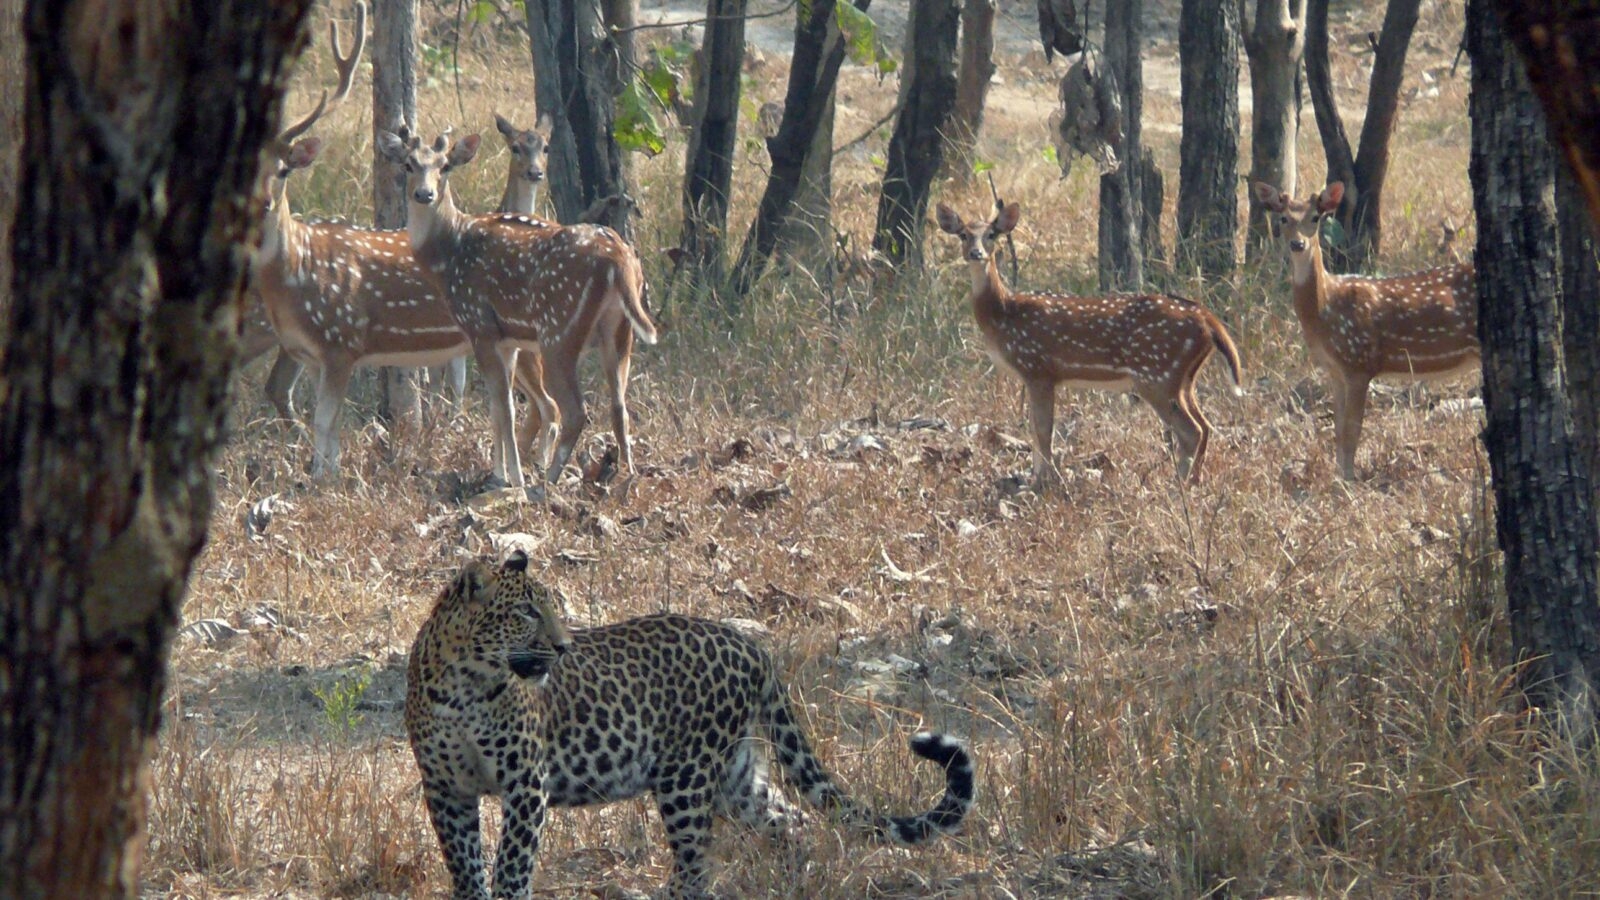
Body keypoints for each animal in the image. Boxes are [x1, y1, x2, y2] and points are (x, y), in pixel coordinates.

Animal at [377, 128, 658, 488]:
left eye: (445, 166)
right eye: (409, 164)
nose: (424, 194)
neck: (446, 255)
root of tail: (619, 259)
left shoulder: (479, 325)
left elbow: (504, 406)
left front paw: (514, 478)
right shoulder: (506, 339)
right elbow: (500, 407)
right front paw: (500, 473)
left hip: (559, 329)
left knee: (574, 410)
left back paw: (547, 480)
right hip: (621, 331)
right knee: (619, 406)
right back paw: (626, 476)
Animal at [405, 550, 975, 899]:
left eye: (549, 609)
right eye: (525, 613)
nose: (564, 647)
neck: (463, 684)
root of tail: (751, 645)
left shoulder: (526, 782)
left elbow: (512, 864)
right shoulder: (446, 788)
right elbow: (464, 863)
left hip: (686, 778)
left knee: (696, 867)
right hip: (736, 776)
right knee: (792, 821)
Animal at [936, 201, 1243, 485]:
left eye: (992, 234)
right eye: (963, 235)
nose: (976, 253)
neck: (1003, 314)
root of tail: (1206, 318)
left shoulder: (1038, 368)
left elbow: (1043, 430)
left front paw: (1044, 482)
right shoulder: (1034, 376)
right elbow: (1034, 429)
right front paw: (1035, 477)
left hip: (1156, 374)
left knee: (1191, 430)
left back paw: (1179, 484)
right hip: (1183, 378)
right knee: (1205, 425)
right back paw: (1194, 481)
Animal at [1254, 181, 1479, 480]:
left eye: (1315, 217)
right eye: (1283, 218)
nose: (1298, 243)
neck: (1324, 309)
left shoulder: (1359, 362)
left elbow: (1352, 430)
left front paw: (1348, 481)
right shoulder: (1335, 370)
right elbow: (1338, 431)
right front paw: (1339, 476)